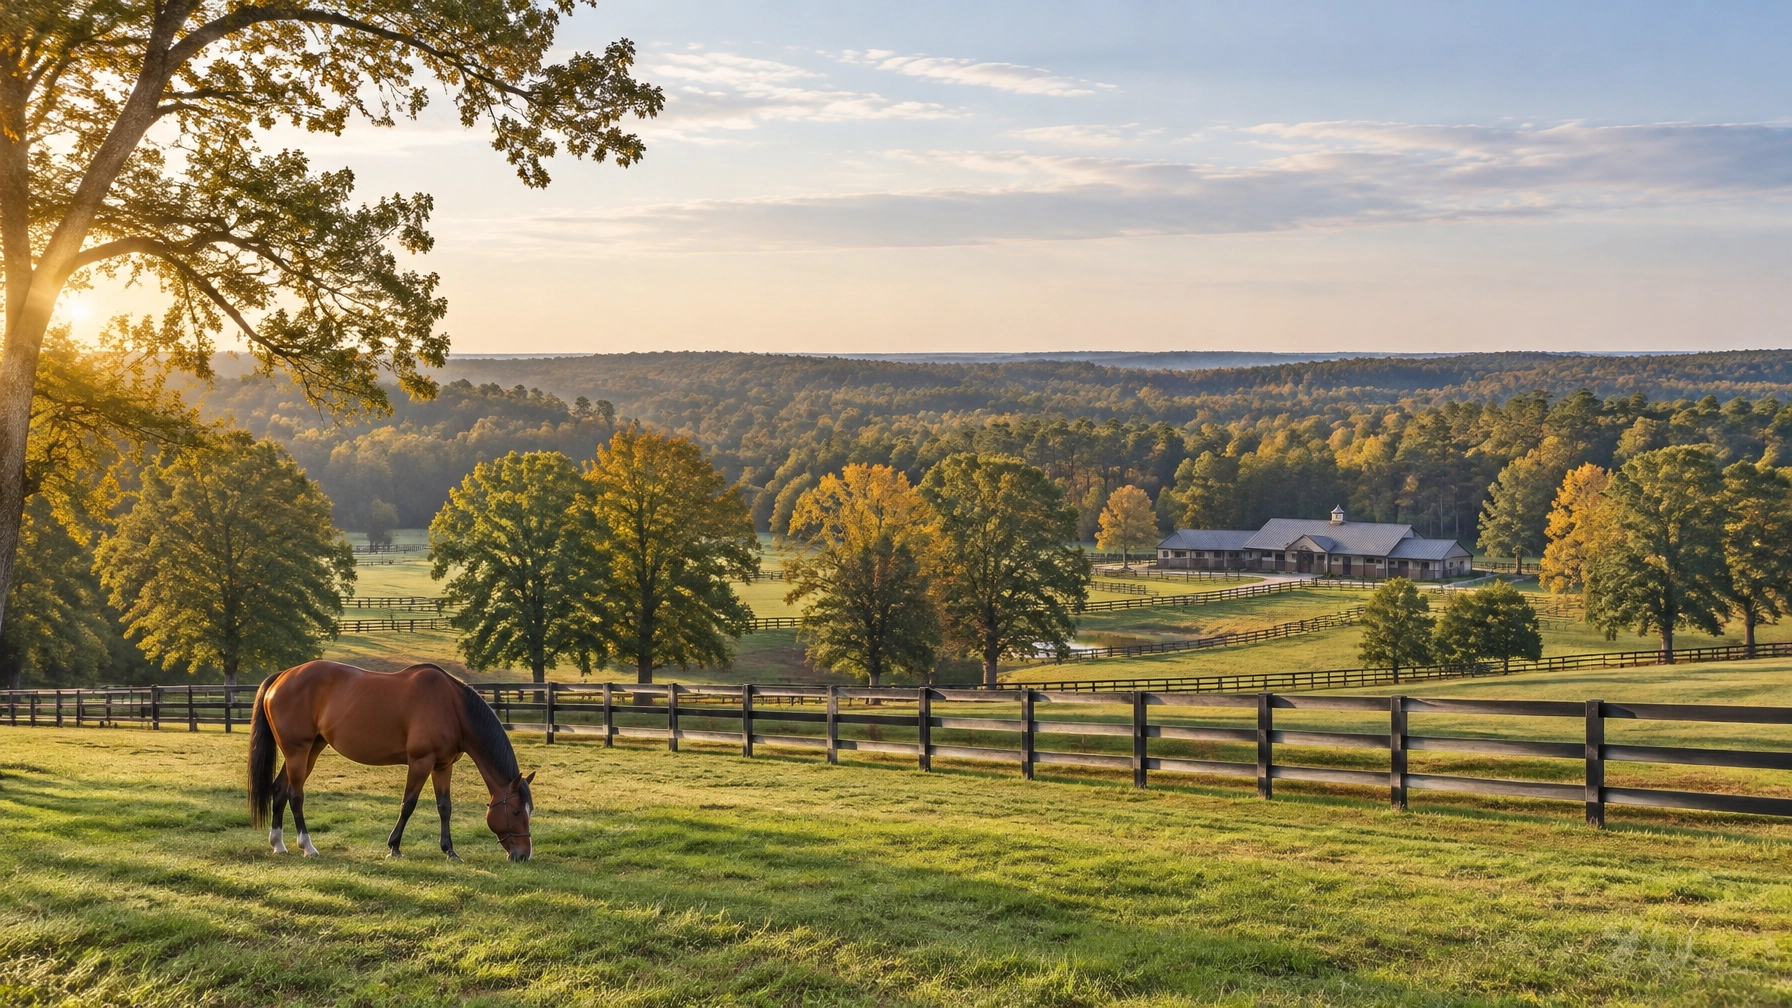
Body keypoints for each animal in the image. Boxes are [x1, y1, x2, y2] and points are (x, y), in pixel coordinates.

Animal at [248, 661, 534, 861]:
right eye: (516, 811)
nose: (523, 855)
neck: (452, 706)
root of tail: (281, 677)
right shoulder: (421, 762)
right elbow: (408, 804)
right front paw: (394, 847)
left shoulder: (443, 766)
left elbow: (445, 807)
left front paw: (450, 851)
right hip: (298, 751)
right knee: (295, 795)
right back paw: (307, 846)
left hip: (309, 751)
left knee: (279, 789)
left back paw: (278, 844)